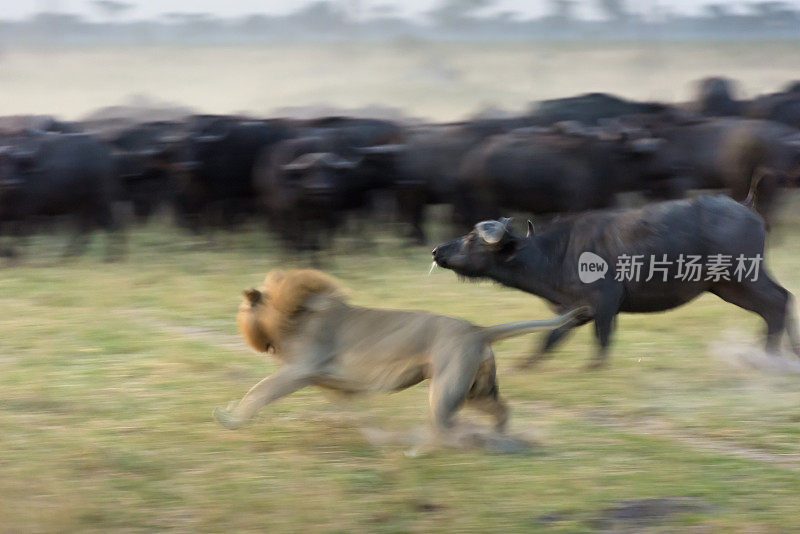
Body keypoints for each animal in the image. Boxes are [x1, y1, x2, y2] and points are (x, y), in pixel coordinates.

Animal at [216, 270, 584, 438]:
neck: (288, 317)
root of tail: (478, 329)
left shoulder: (298, 370)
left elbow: (258, 392)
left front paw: (231, 419)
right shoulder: (335, 385)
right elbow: (350, 411)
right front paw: (359, 429)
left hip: (446, 387)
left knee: (446, 425)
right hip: (476, 390)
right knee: (501, 409)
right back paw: (498, 438)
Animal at [434, 199, 796, 370]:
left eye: (472, 239)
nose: (438, 251)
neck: (556, 253)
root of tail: (749, 211)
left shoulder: (605, 303)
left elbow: (602, 339)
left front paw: (593, 369)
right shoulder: (576, 310)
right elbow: (550, 339)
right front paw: (525, 365)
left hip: (744, 276)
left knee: (779, 301)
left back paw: (771, 356)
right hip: (727, 286)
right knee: (779, 302)